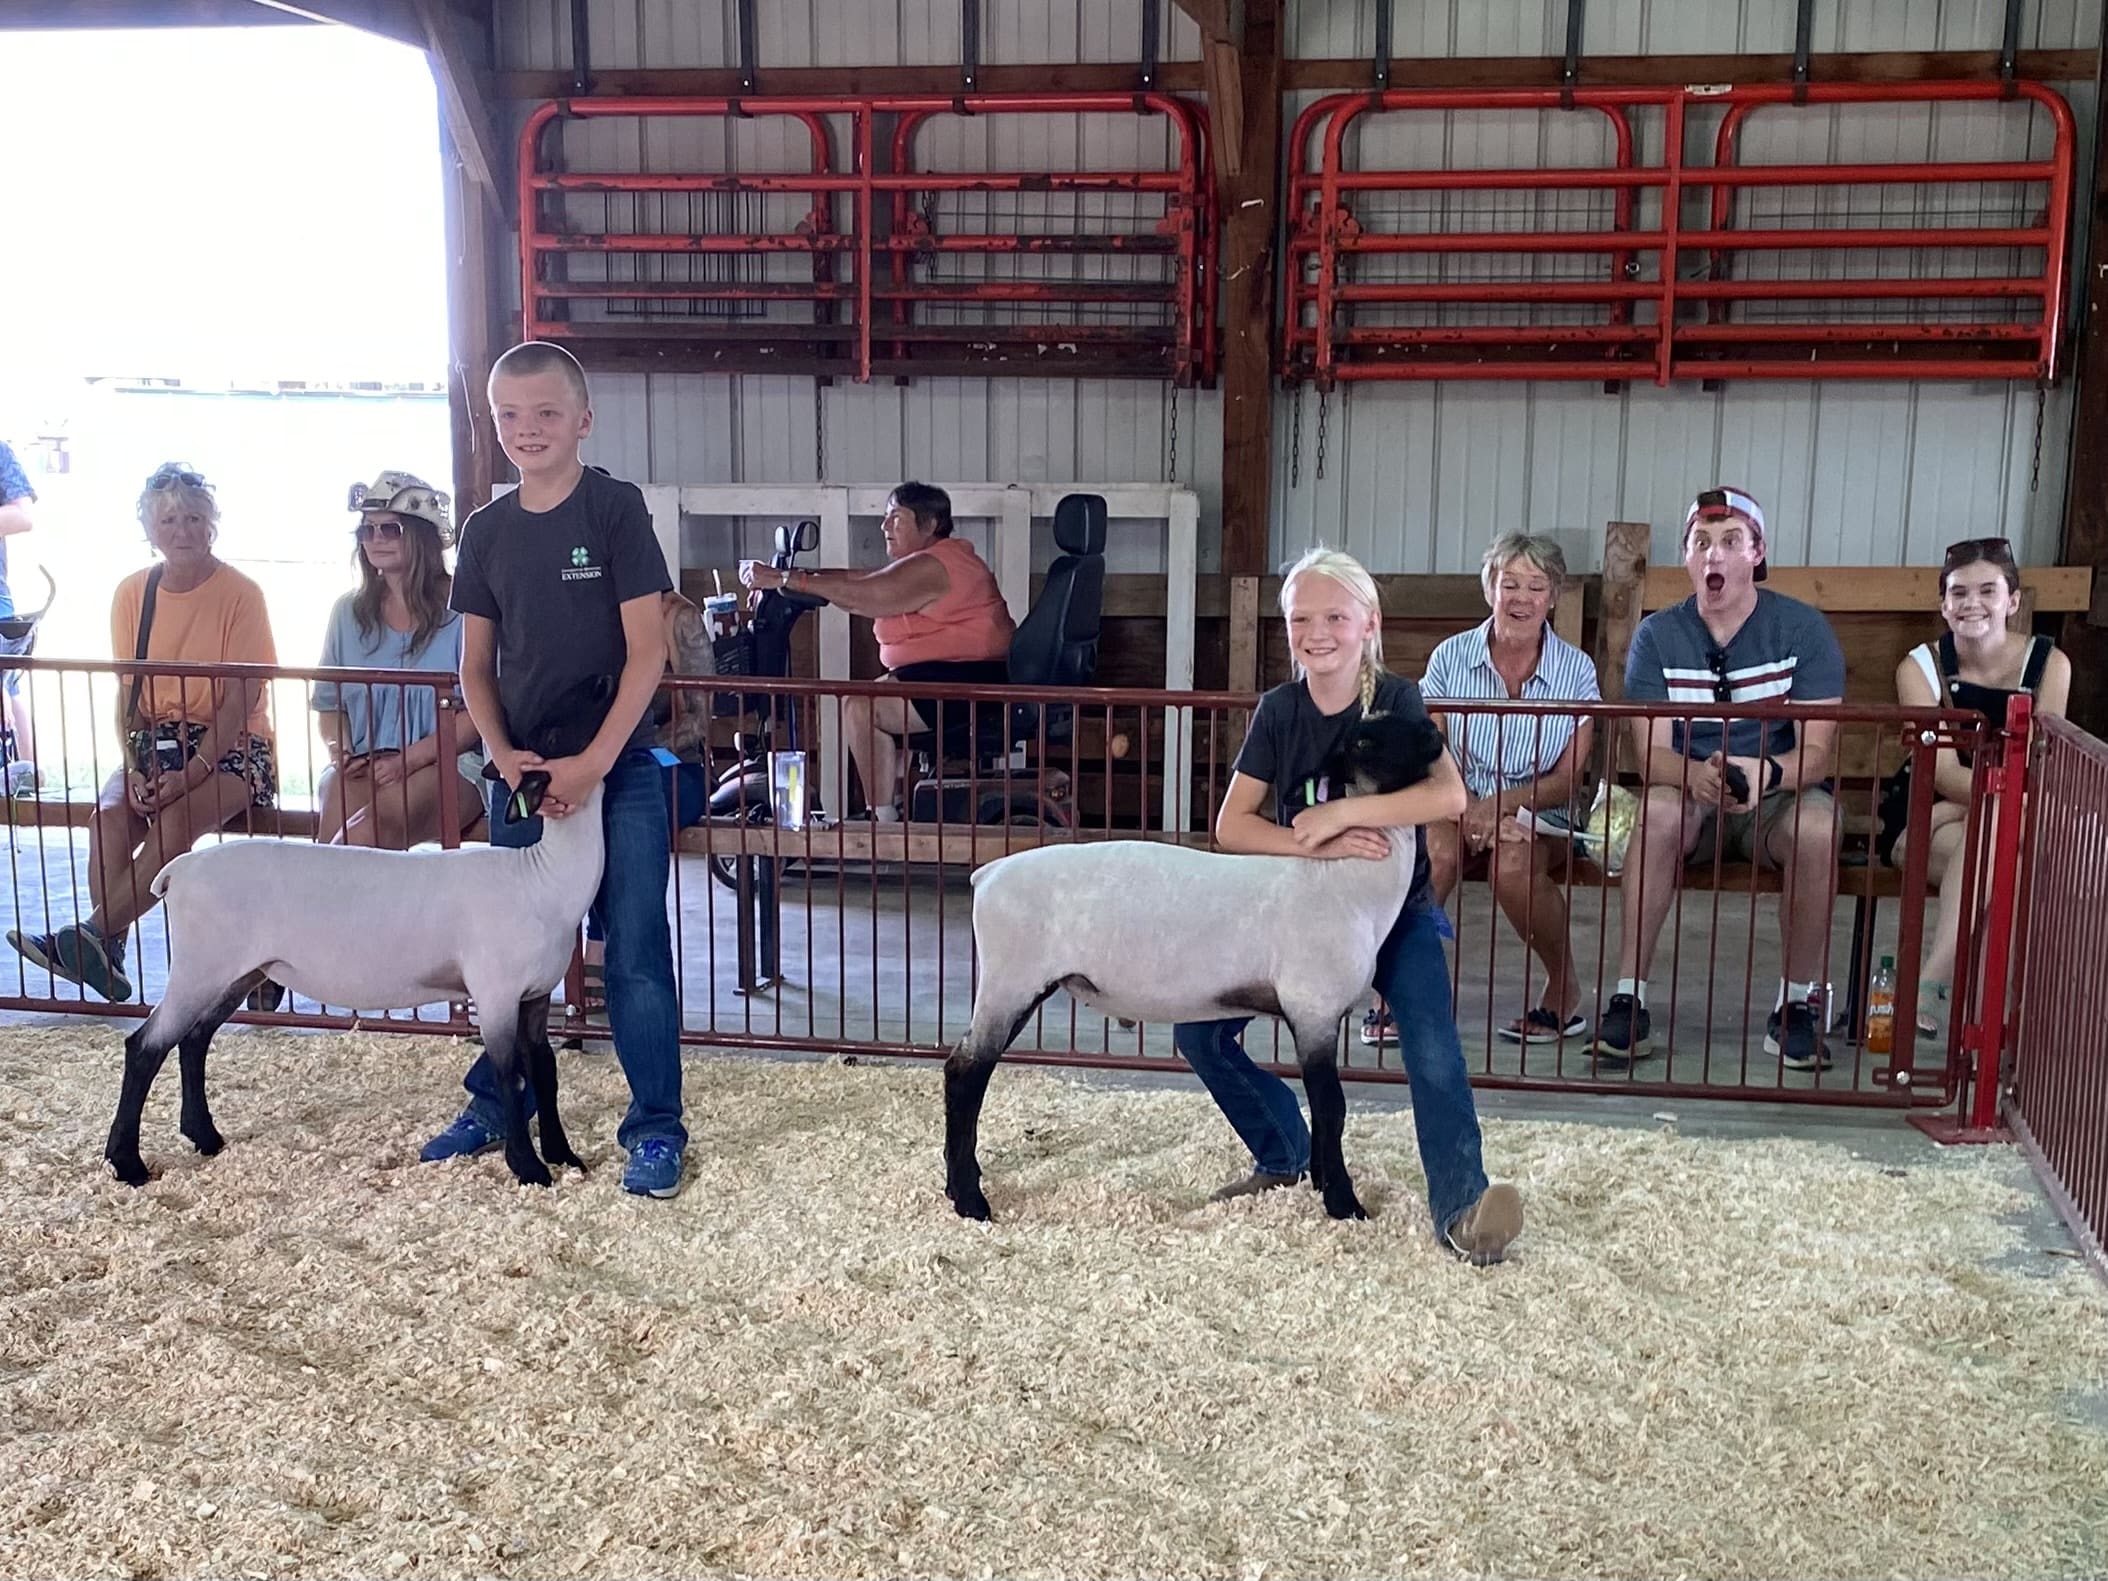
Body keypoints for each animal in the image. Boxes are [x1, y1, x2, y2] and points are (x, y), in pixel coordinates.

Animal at [102, 670, 615, 1188]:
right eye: (554, 729)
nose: (601, 679)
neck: (541, 879)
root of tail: (179, 870)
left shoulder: (535, 994)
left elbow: (545, 1070)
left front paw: (564, 1155)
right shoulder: (495, 992)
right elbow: (511, 1076)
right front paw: (528, 1167)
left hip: (239, 970)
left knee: (193, 1040)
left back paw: (205, 1137)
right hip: (201, 966)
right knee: (146, 1046)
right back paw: (128, 1163)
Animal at [952, 716, 1458, 1222]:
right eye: (1364, 740)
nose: (1434, 732)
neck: (1346, 882)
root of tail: (988, 874)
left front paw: (1322, 1184)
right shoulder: (1313, 1007)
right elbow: (1331, 1107)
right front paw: (1343, 1202)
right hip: (1009, 982)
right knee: (965, 1071)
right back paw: (969, 1200)